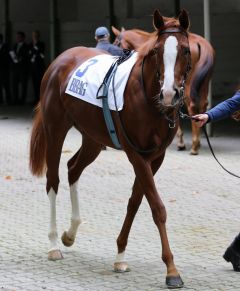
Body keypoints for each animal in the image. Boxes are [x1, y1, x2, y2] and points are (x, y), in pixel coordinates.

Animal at [29, 9, 191, 290]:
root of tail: (60, 60)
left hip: (93, 139)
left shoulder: (155, 158)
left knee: (73, 169)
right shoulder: (136, 154)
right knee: (53, 180)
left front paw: (120, 257)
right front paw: (171, 270)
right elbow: (157, 207)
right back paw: (53, 244)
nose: (170, 94)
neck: (148, 99)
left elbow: (135, 202)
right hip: (55, 129)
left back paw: (70, 233)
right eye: (157, 51)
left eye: (185, 50)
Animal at [112, 26, 216, 155]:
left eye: (116, 42)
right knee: (203, 105)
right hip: (203, 85)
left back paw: (194, 145)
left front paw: (180, 142)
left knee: (192, 106)